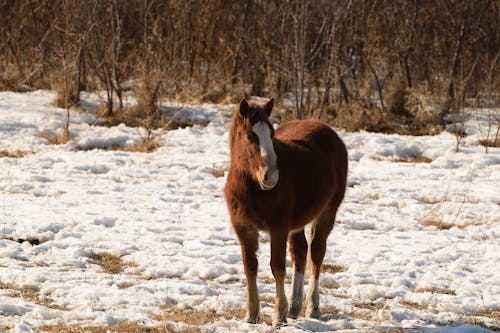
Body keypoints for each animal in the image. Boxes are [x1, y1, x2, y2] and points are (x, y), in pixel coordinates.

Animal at [226, 97, 348, 326]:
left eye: (272, 133)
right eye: (249, 136)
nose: (271, 176)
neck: (253, 189)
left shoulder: (279, 228)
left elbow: (277, 267)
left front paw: (278, 314)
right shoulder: (244, 228)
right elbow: (250, 266)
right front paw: (251, 314)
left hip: (328, 212)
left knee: (316, 253)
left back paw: (312, 307)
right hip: (298, 222)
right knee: (300, 252)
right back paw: (294, 306)